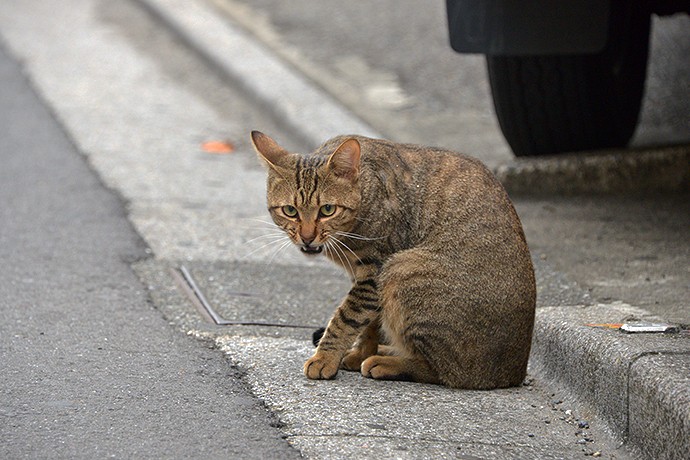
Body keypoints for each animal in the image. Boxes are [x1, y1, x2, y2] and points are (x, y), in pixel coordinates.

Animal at [250, 131, 536, 390]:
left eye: (327, 210)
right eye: (290, 211)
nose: (307, 237)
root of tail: (514, 374)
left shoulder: (375, 271)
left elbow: (346, 318)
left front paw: (325, 358)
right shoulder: (362, 276)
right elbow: (368, 324)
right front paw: (359, 353)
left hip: (403, 270)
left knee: (447, 373)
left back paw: (388, 362)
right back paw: (386, 352)